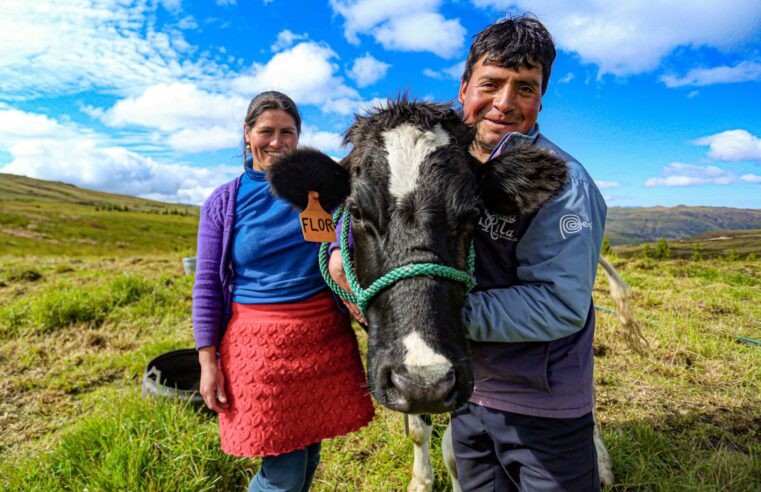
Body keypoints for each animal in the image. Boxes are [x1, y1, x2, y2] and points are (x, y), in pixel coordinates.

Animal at [264, 98, 616, 490]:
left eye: (474, 213)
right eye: (356, 211)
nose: (425, 382)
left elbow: (455, 442)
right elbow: (421, 427)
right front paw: (421, 477)